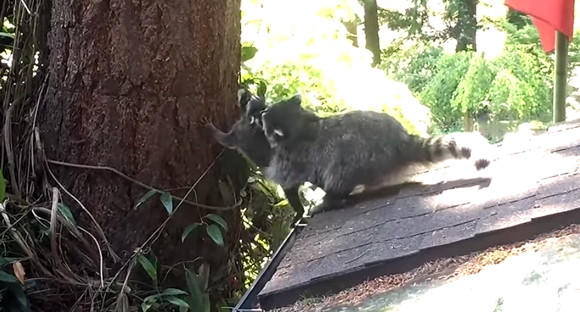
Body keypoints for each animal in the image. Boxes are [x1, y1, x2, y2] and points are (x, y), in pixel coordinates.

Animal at [204, 89, 306, 223]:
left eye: (247, 100)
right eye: (251, 96)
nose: (243, 90)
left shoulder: (238, 133)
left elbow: (225, 140)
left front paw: (211, 129)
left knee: (291, 194)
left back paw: (300, 212)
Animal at [260, 94, 490, 208]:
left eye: (266, 118)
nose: (261, 112)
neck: (301, 123)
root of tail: (401, 140)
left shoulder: (292, 157)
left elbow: (287, 177)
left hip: (355, 158)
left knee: (337, 174)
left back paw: (331, 199)